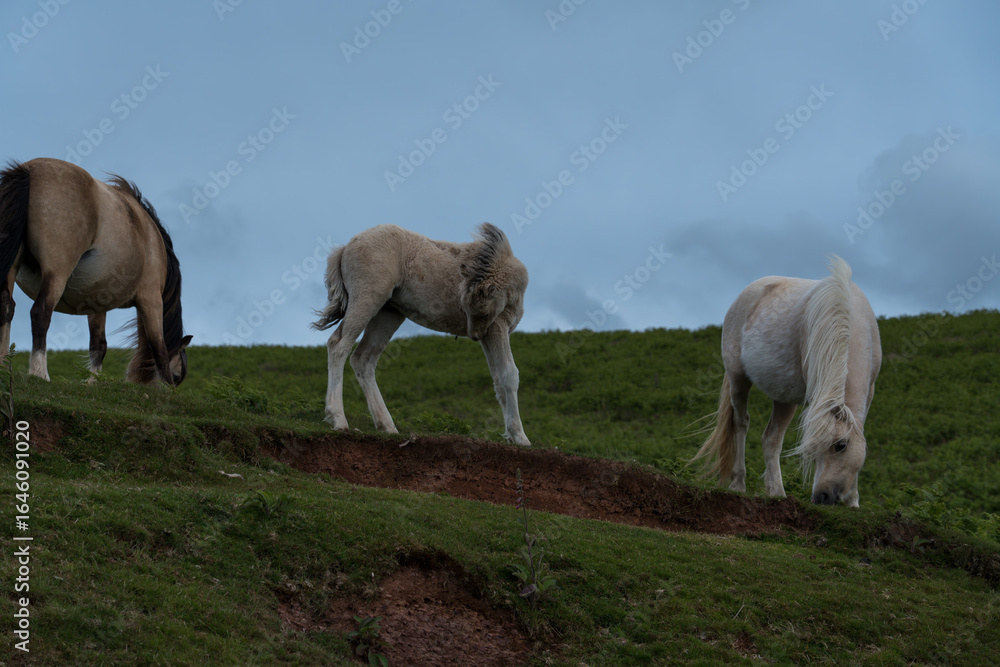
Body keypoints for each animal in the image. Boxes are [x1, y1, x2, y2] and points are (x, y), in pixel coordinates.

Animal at [0, 158, 192, 385]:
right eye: (177, 377)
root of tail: (28, 170)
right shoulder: (151, 298)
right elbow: (158, 347)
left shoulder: (97, 302)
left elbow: (99, 345)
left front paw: (93, 382)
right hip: (57, 273)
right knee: (40, 312)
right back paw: (40, 374)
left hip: (12, 267)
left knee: (6, 306)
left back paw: (4, 367)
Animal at [312, 222, 531, 446]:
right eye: (474, 311)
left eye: (481, 312)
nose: (474, 335)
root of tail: (346, 247)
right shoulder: (498, 327)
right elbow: (509, 375)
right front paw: (521, 437)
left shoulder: (488, 335)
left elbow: (498, 381)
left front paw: (511, 435)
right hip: (366, 299)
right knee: (339, 345)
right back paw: (338, 418)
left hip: (388, 313)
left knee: (363, 359)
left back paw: (387, 426)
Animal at [690, 256, 881, 506]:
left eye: (841, 446)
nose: (821, 497)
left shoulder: (870, 390)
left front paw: (853, 501)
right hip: (739, 381)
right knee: (742, 424)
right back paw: (743, 484)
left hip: (783, 397)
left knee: (769, 439)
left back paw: (773, 490)